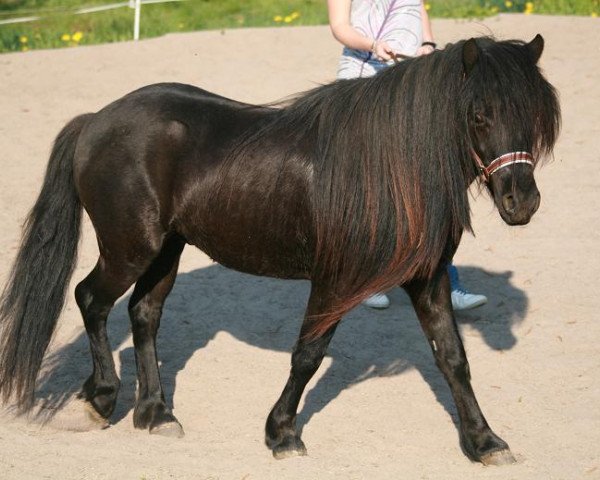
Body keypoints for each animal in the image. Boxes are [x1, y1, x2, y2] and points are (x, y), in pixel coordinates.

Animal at [1, 35, 556, 464]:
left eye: (533, 115)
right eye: (479, 115)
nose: (521, 202)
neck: (390, 169)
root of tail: (98, 119)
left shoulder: (429, 278)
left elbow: (453, 358)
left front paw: (485, 442)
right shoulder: (335, 281)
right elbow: (308, 355)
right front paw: (283, 433)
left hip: (166, 250)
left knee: (144, 314)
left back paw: (156, 414)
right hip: (129, 248)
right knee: (91, 300)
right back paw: (101, 398)